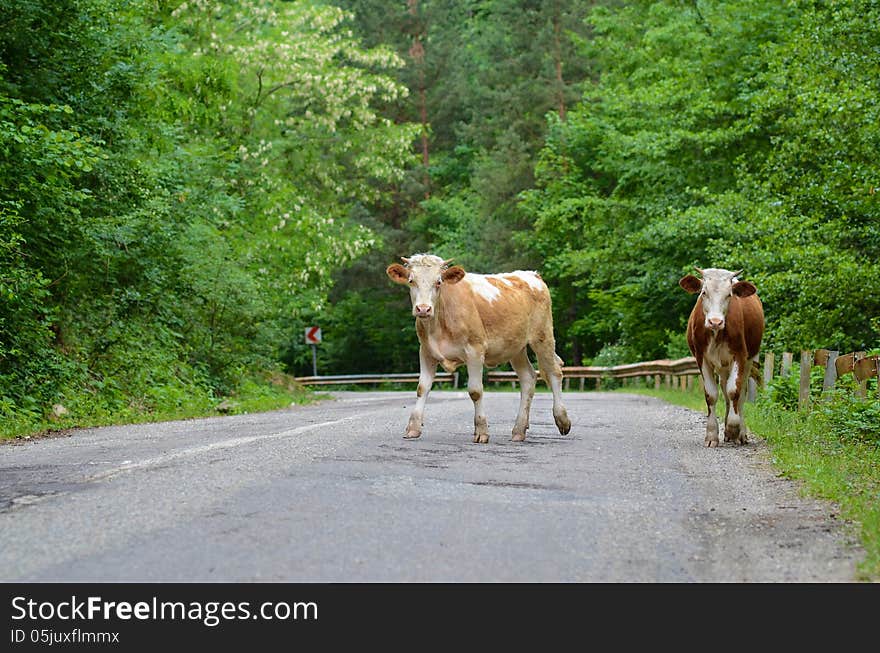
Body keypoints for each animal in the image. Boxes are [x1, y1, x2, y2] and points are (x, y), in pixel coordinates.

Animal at [384, 253, 572, 444]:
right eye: (411, 280)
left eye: (439, 282)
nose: (423, 309)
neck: (438, 324)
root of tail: (532, 274)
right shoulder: (426, 351)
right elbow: (422, 388)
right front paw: (413, 428)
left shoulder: (475, 350)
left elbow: (475, 391)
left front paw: (481, 431)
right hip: (516, 347)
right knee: (528, 377)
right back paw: (519, 430)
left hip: (543, 336)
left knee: (554, 372)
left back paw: (562, 420)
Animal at [680, 268, 764, 446]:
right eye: (704, 292)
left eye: (729, 295)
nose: (715, 321)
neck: (716, 334)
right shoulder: (701, 358)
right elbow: (711, 394)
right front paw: (712, 435)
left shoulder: (740, 355)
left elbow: (735, 391)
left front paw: (733, 428)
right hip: (723, 366)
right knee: (725, 393)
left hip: (749, 360)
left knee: (740, 394)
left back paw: (740, 433)